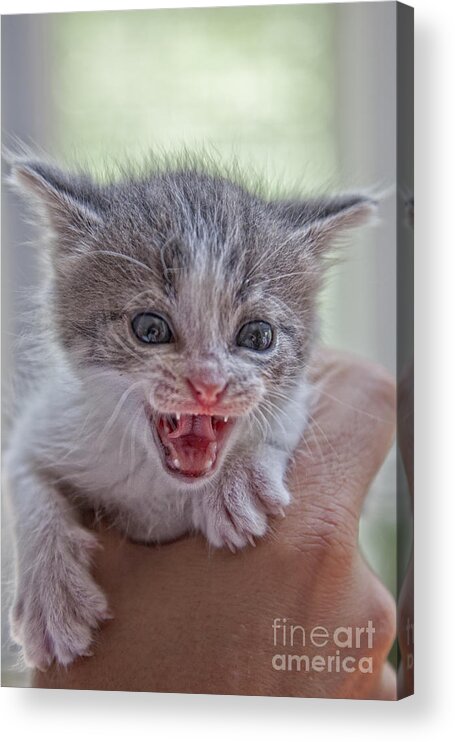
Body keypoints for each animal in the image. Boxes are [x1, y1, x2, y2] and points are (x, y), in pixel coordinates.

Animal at [3, 157, 376, 668]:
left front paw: (239, 480)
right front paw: (50, 596)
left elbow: (288, 407)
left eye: (258, 336)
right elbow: (26, 479)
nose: (208, 385)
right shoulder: (50, 422)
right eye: (150, 328)